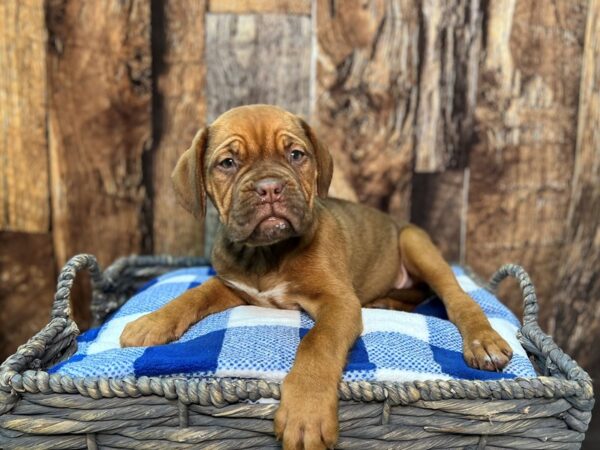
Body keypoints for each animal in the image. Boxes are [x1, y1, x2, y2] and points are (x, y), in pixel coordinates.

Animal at [120, 104, 510, 450]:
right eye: (227, 163)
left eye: (296, 155)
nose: (270, 187)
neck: (268, 253)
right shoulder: (232, 286)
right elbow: (194, 294)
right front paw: (152, 322)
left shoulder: (338, 301)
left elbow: (317, 345)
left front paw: (305, 414)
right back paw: (385, 301)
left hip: (415, 243)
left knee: (455, 296)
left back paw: (483, 340)